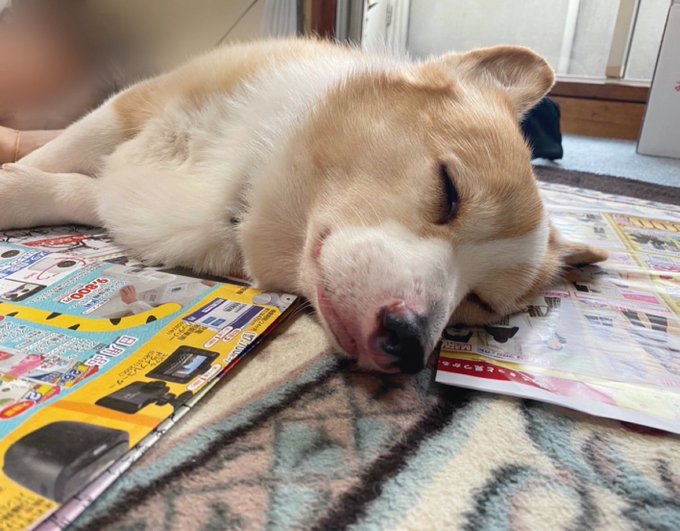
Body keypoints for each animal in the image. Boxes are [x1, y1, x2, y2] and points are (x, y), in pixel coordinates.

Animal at [0, 38, 607, 373]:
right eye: (448, 191)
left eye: (479, 304)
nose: (410, 344)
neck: (247, 182)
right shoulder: (132, 108)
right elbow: (59, 160)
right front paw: (13, 183)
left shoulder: (128, 195)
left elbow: (72, 189)